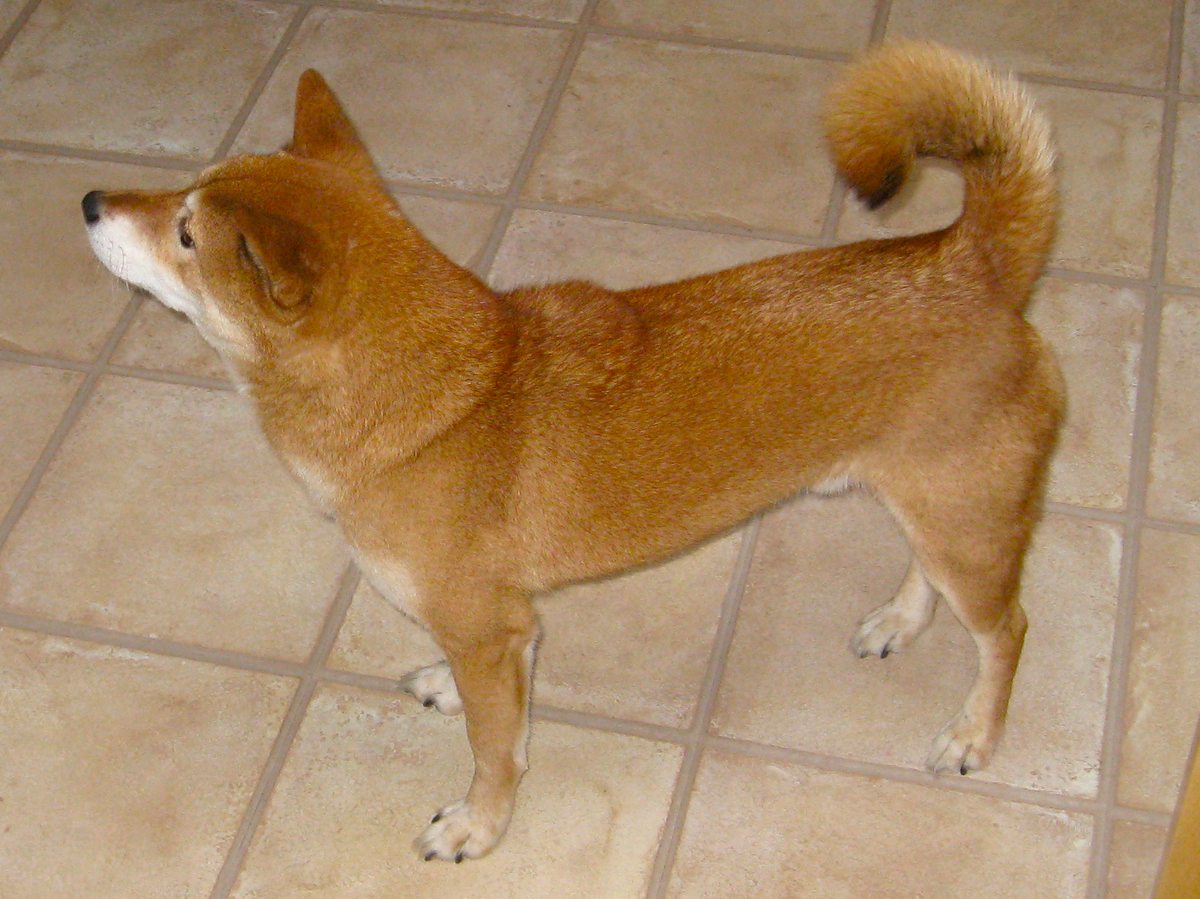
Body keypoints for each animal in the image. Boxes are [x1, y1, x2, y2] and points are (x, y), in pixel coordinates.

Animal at [82, 42, 1063, 862]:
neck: (431, 394)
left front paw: (479, 826)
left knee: (1009, 629)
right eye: (187, 188)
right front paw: (450, 694)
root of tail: (972, 259)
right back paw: (900, 620)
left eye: (186, 232)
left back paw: (975, 732)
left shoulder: (488, 626)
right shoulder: (504, 630)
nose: (90, 201)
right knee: (929, 573)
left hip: (968, 525)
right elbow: (496, 703)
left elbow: (495, 749)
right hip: (932, 504)